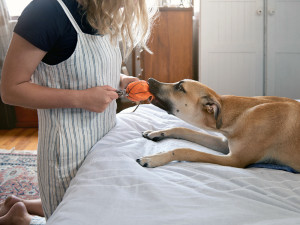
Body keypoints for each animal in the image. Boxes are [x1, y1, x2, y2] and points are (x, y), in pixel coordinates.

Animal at [137, 78, 300, 171]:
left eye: (180, 88)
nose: (149, 79)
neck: (239, 115)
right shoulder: (224, 143)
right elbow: (182, 129)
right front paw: (156, 132)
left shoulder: (235, 160)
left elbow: (187, 151)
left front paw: (154, 158)